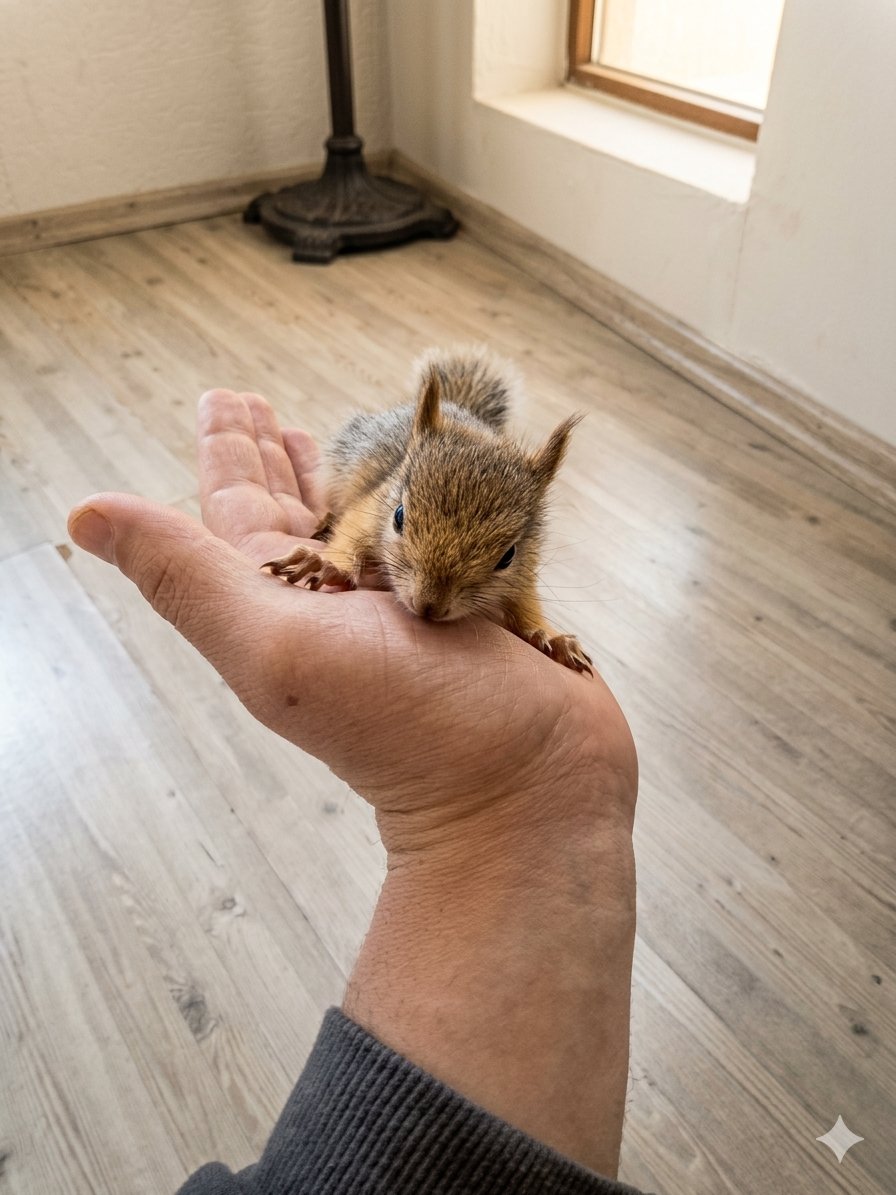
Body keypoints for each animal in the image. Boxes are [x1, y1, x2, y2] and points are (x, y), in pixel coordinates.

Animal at [263, 346, 592, 675]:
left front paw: (552, 637)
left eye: (508, 555)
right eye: (398, 516)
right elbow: (350, 534)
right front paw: (326, 564)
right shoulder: (371, 506)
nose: (429, 605)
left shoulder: (526, 566)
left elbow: (526, 601)